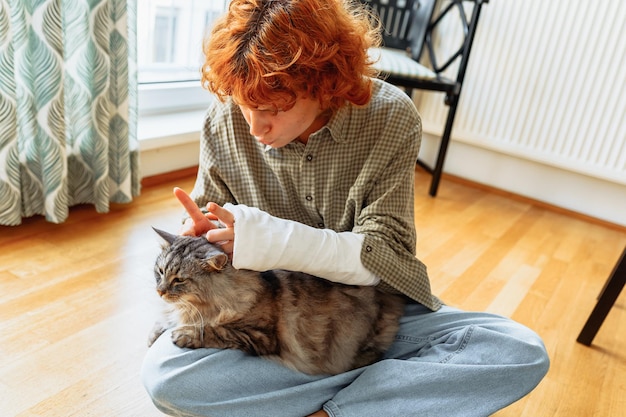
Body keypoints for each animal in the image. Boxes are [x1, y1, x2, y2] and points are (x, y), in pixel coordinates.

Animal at [150, 228, 404, 374]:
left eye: (179, 280)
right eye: (160, 272)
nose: (159, 292)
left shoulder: (260, 335)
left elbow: (217, 330)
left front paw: (186, 333)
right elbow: (165, 319)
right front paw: (155, 333)